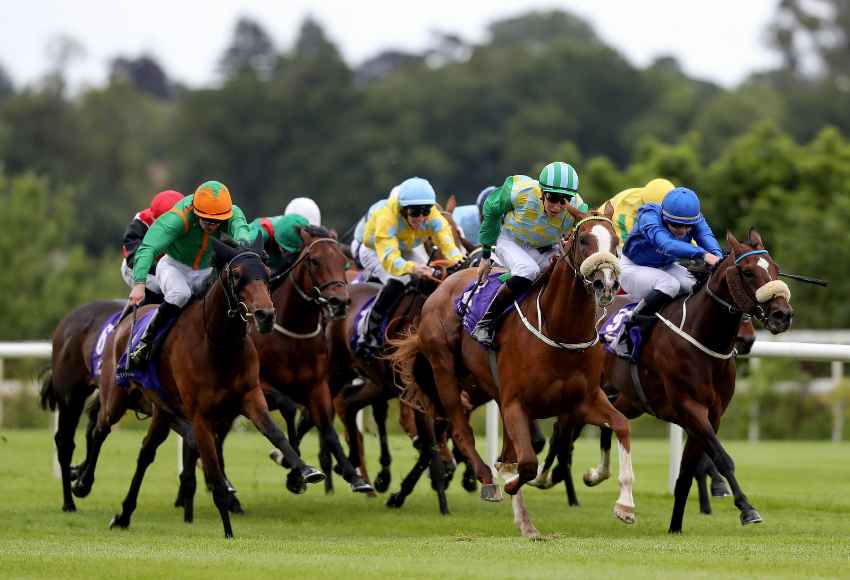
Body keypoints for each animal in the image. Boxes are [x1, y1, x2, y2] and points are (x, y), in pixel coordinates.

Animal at [95, 237, 322, 540]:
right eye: (236, 275)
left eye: (266, 272)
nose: (265, 315)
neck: (219, 345)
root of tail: (126, 321)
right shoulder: (201, 416)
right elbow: (213, 469)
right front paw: (228, 529)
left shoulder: (250, 396)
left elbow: (276, 434)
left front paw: (305, 471)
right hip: (117, 398)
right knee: (100, 427)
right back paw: (80, 480)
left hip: (162, 409)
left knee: (145, 453)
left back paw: (124, 513)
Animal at [390, 205, 628, 540]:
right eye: (583, 240)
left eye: (616, 241)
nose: (605, 283)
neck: (560, 330)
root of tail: (443, 286)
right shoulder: (516, 402)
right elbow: (525, 463)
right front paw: (510, 484)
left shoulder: (583, 401)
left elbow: (618, 426)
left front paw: (622, 503)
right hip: (445, 370)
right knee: (459, 428)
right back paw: (485, 480)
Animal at [580, 229, 792, 532]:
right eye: (749, 272)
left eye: (775, 268)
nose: (782, 315)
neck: (703, 337)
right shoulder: (691, 408)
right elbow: (723, 459)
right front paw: (746, 508)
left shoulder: (711, 415)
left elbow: (687, 474)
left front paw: (675, 527)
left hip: (628, 400)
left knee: (612, 422)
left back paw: (598, 474)